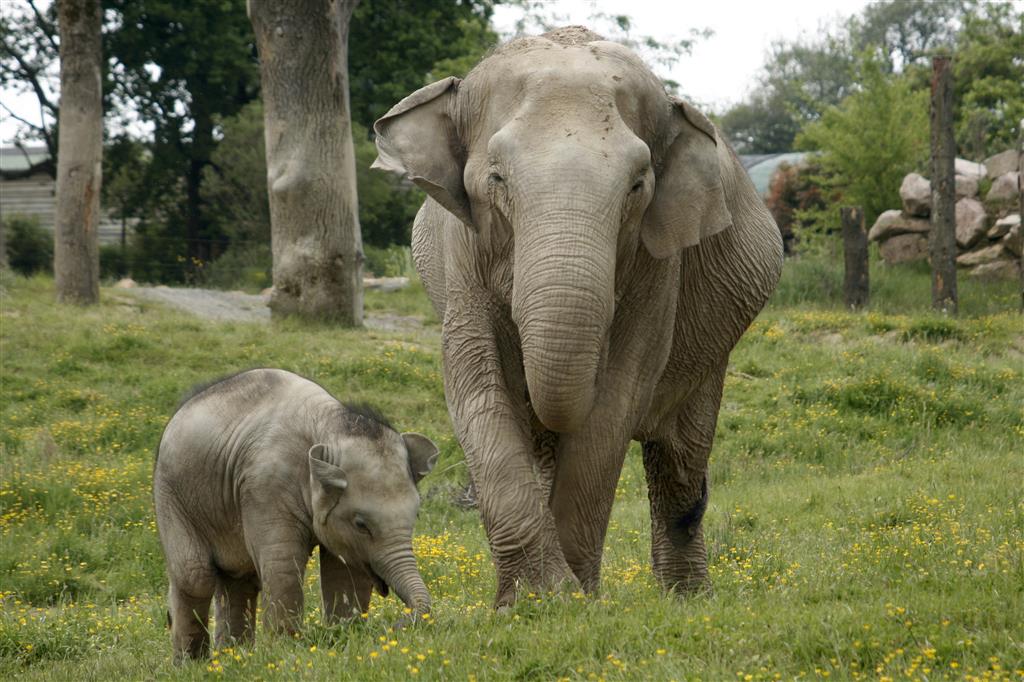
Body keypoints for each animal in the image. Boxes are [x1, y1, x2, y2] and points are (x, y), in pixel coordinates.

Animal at [152, 366, 440, 659]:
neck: (328, 427)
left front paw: (345, 634)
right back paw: (194, 663)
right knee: (195, 576)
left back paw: (235, 658)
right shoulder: (266, 486)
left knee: (240, 579)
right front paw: (285, 652)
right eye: (361, 524)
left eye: (416, 516)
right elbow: (282, 564)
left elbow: (346, 569)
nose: (397, 624)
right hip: (170, 496)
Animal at [376, 26, 782, 602]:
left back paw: (686, 599)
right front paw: (537, 599)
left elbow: (617, 396)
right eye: (496, 179)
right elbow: (473, 379)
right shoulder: (463, 256)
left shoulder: (657, 263)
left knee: (680, 464)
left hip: (714, 350)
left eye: (637, 185)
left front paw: (570, 600)